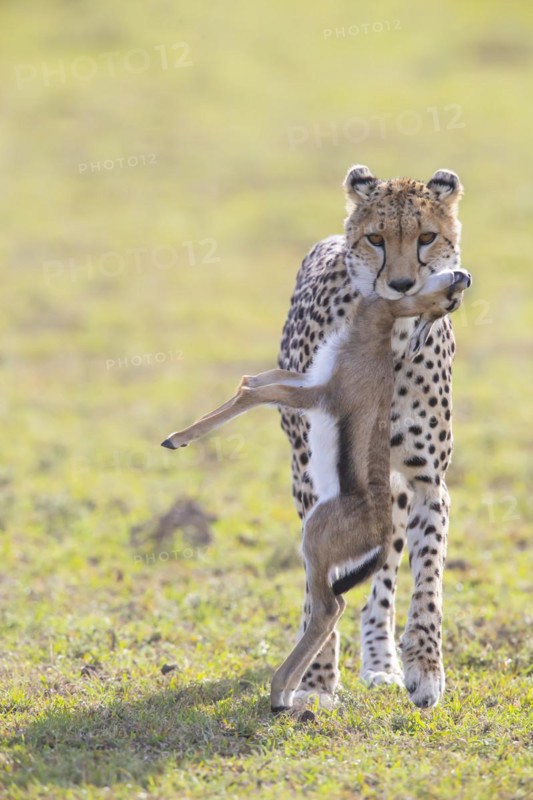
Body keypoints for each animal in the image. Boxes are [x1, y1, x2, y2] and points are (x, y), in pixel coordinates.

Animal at [277, 164, 467, 710]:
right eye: (376, 239)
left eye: (426, 237)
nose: (402, 284)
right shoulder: (314, 478)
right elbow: (319, 584)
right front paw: (318, 681)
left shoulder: (427, 482)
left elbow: (428, 582)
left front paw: (424, 668)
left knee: (381, 583)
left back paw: (381, 661)